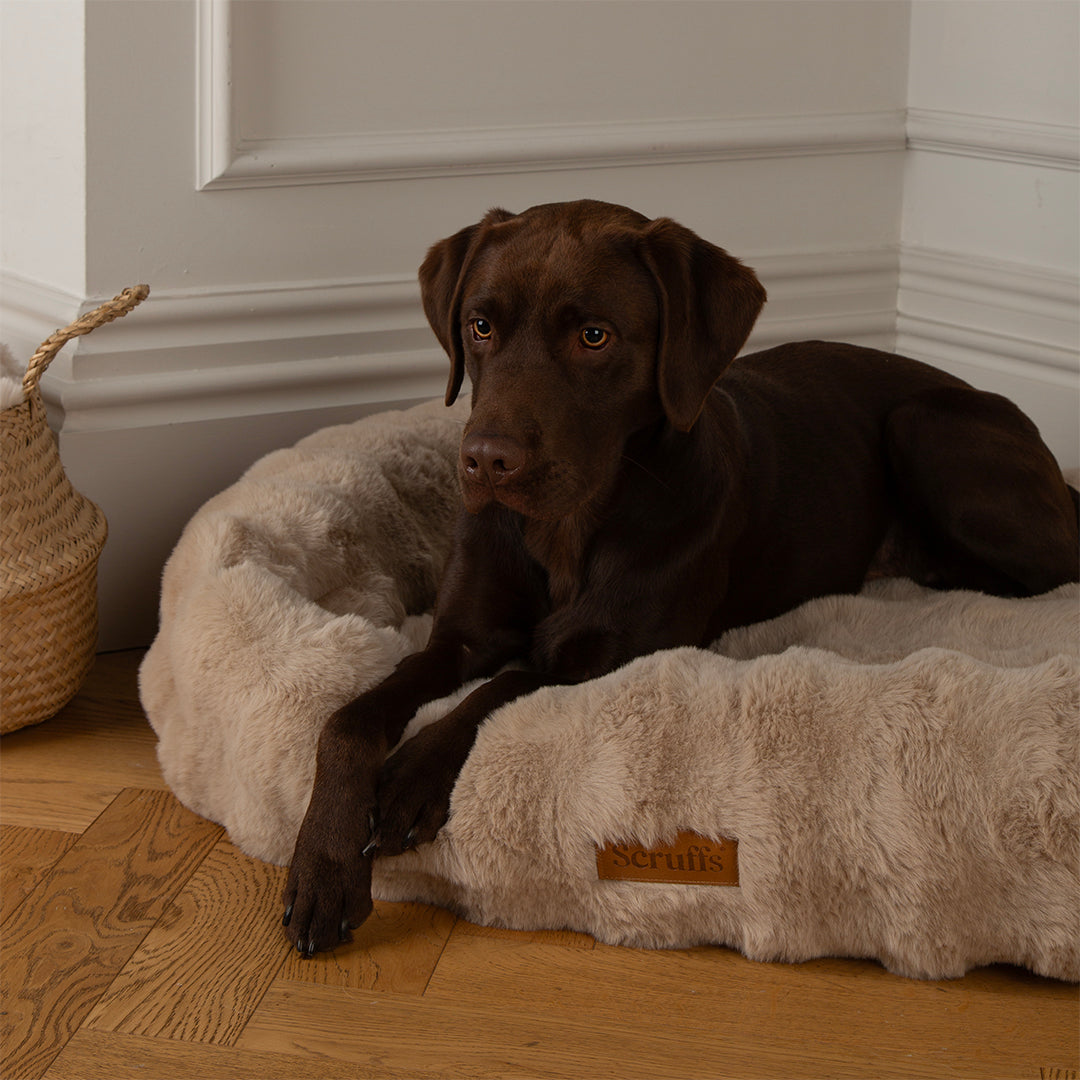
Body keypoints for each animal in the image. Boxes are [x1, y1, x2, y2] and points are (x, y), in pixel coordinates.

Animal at [282, 199, 1079, 955]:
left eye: (594, 336)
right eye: (480, 325)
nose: (484, 460)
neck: (568, 528)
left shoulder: (608, 657)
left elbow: (498, 688)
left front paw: (410, 776)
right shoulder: (459, 637)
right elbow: (348, 719)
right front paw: (322, 871)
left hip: (925, 429)